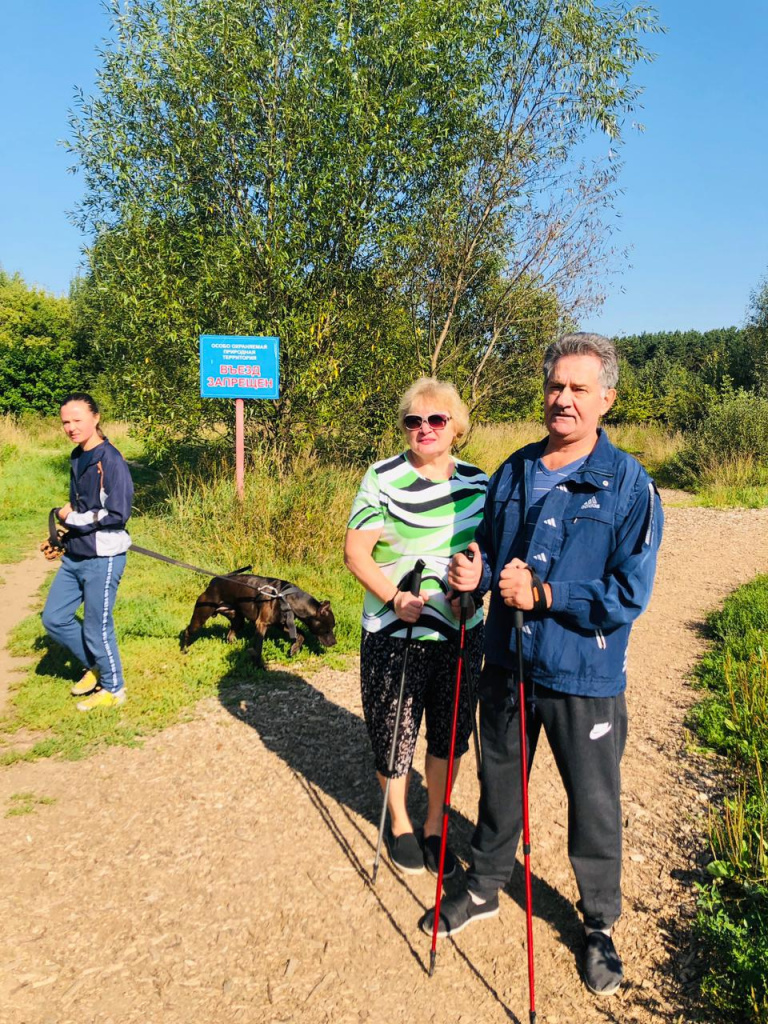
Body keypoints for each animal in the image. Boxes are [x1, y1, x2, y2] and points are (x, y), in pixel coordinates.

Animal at [182, 573, 337, 667]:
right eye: (328, 628)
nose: (335, 642)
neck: (287, 597)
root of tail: (213, 582)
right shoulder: (261, 624)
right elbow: (258, 647)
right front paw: (258, 665)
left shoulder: (281, 624)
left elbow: (301, 634)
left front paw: (294, 649)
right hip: (201, 616)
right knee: (188, 631)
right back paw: (184, 650)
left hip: (237, 620)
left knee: (230, 635)